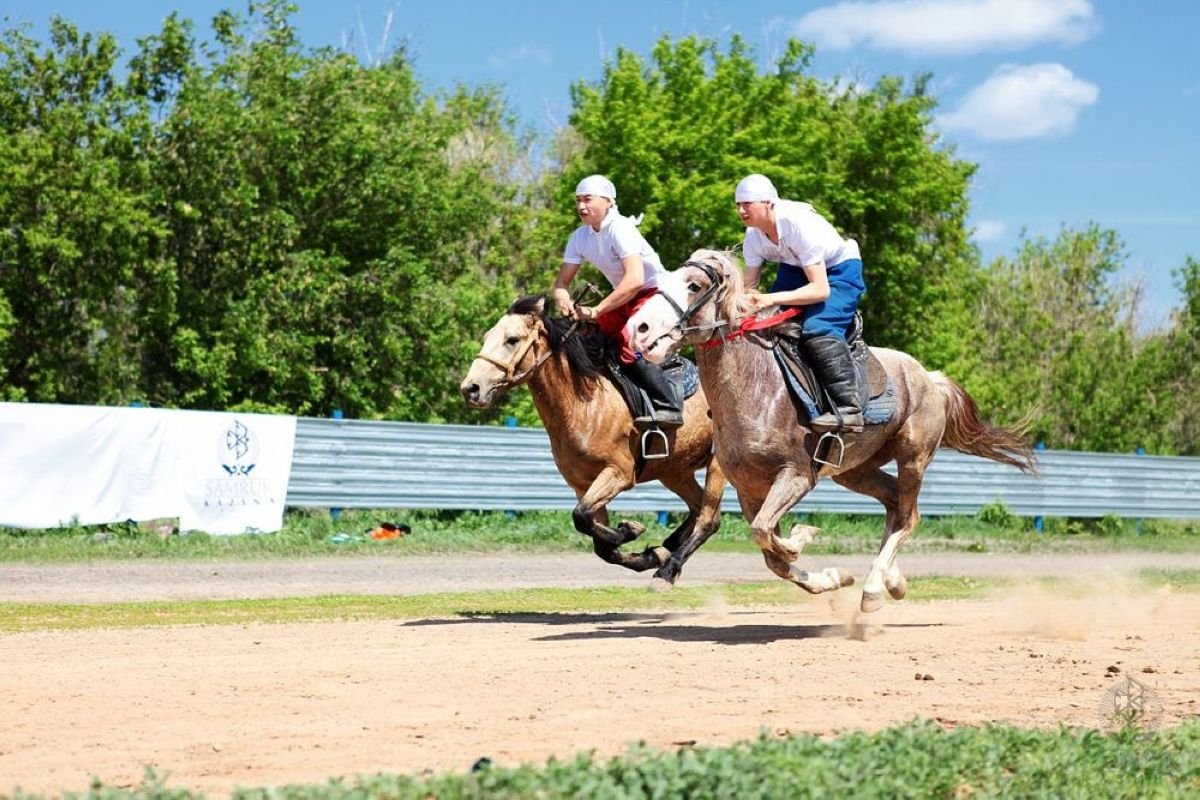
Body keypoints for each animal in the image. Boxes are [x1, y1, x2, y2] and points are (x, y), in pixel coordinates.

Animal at [456, 293, 720, 587]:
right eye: (487, 336)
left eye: (511, 339)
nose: (470, 388)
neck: (585, 406)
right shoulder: (583, 485)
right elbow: (600, 543)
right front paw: (647, 552)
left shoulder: (617, 474)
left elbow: (581, 517)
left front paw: (631, 530)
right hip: (675, 472)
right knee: (698, 509)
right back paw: (666, 550)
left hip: (717, 465)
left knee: (709, 520)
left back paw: (667, 571)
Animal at [628, 250, 1032, 614]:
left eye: (693, 286)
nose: (638, 329)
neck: (758, 389)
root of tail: (931, 379)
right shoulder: (747, 486)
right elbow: (771, 552)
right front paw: (832, 576)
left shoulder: (796, 476)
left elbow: (767, 535)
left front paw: (802, 537)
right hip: (854, 471)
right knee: (893, 504)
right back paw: (893, 581)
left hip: (913, 458)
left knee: (908, 516)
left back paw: (874, 590)